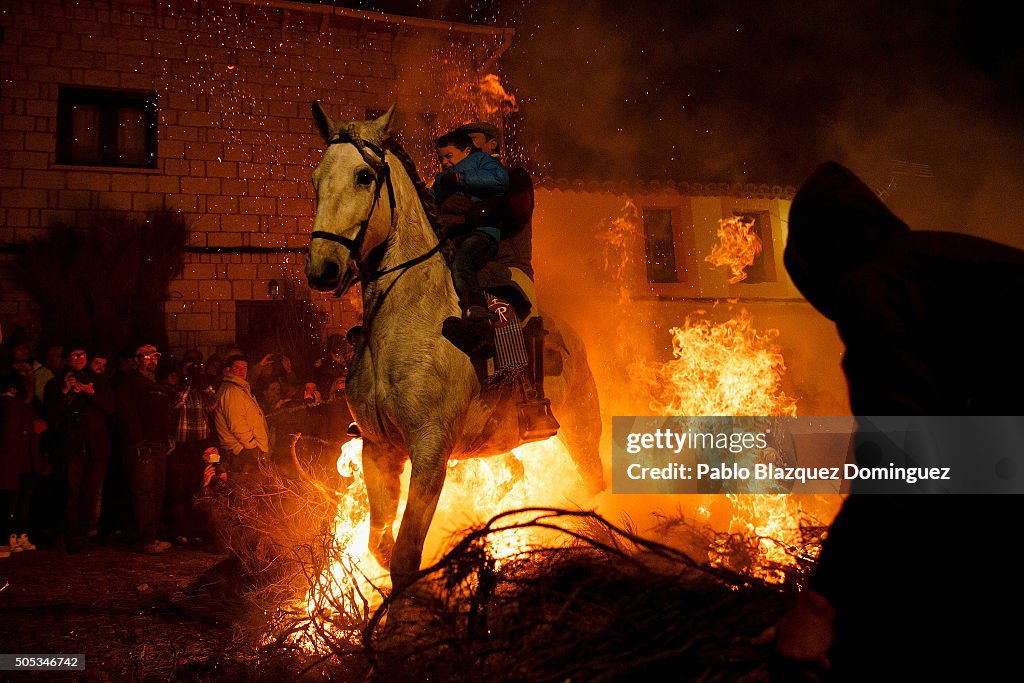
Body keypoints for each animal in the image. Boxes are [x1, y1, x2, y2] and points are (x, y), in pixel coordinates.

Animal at [307, 107, 602, 589]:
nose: (323, 269)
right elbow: (381, 545)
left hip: (581, 428)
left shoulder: (430, 453)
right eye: (316, 178)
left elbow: (405, 557)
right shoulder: (378, 450)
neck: (403, 322)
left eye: (364, 176)